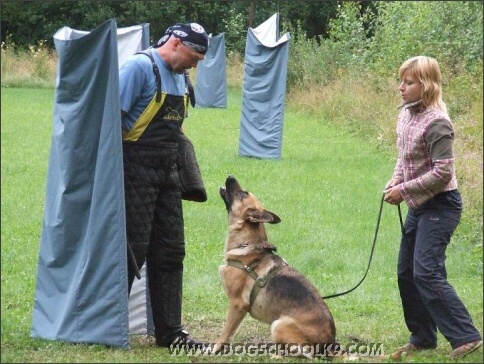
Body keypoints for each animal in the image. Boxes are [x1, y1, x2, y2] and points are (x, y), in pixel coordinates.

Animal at [216, 176, 336, 358]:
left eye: (244, 194)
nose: (230, 176)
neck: (246, 243)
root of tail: (332, 345)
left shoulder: (237, 304)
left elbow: (225, 332)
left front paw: (214, 349)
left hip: (278, 325)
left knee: (304, 354)